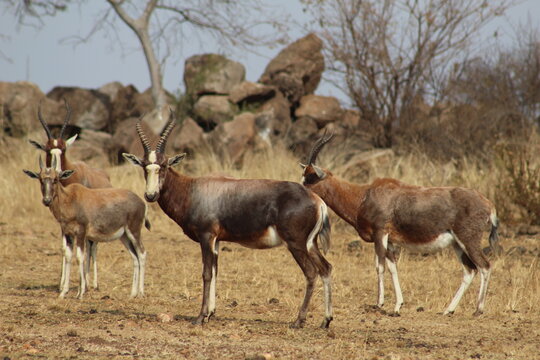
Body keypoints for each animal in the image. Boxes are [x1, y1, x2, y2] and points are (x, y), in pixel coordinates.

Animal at [23, 156, 150, 300]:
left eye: (56, 179)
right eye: (40, 179)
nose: (47, 200)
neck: (70, 198)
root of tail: (141, 202)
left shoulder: (81, 233)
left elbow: (80, 257)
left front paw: (80, 293)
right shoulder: (68, 233)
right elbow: (68, 256)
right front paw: (63, 292)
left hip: (134, 231)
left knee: (142, 253)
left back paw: (141, 293)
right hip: (124, 236)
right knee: (134, 257)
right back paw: (132, 294)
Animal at [29, 98, 112, 292]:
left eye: (64, 149)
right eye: (47, 149)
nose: (57, 173)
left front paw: (83, 283)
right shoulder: (63, 222)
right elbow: (65, 247)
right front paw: (61, 284)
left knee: (92, 246)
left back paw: (92, 282)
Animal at [123, 113, 334, 330]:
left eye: (164, 165)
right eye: (144, 166)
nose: (150, 195)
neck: (193, 189)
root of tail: (317, 200)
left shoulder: (206, 237)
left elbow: (206, 274)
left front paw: (200, 317)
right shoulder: (217, 241)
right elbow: (215, 272)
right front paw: (210, 314)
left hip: (296, 244)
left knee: (311, 272)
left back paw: (298, 321)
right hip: (310, 244)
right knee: (326, 268)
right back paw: (325, 321)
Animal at [300, 134, 498, 316]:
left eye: (310, 177)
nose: (300, 191)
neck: (364, 195)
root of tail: (488, 204)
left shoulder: (380, 234)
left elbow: (379, 266)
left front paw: (379, 303)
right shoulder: (390, 241)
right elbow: (393, 268)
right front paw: (397, 306)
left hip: (468, 240)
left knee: (484, 266)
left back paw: (478, 310)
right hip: (457, 244)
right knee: (469, 270)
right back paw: (448, 310)